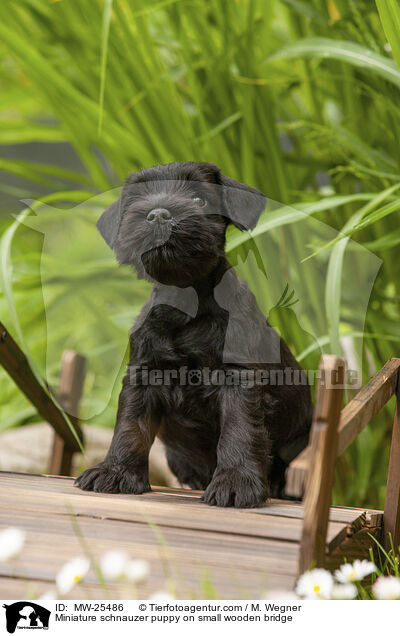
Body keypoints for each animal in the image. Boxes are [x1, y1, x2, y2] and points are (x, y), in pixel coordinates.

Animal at [75, 163, 312, 506]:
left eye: (199, 199)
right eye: (137, 200)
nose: (158, 214)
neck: (185, 305)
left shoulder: (238, 379)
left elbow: (239, 430)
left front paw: (235, 482)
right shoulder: (144, 376)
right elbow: (130, 427)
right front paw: (116, 471)